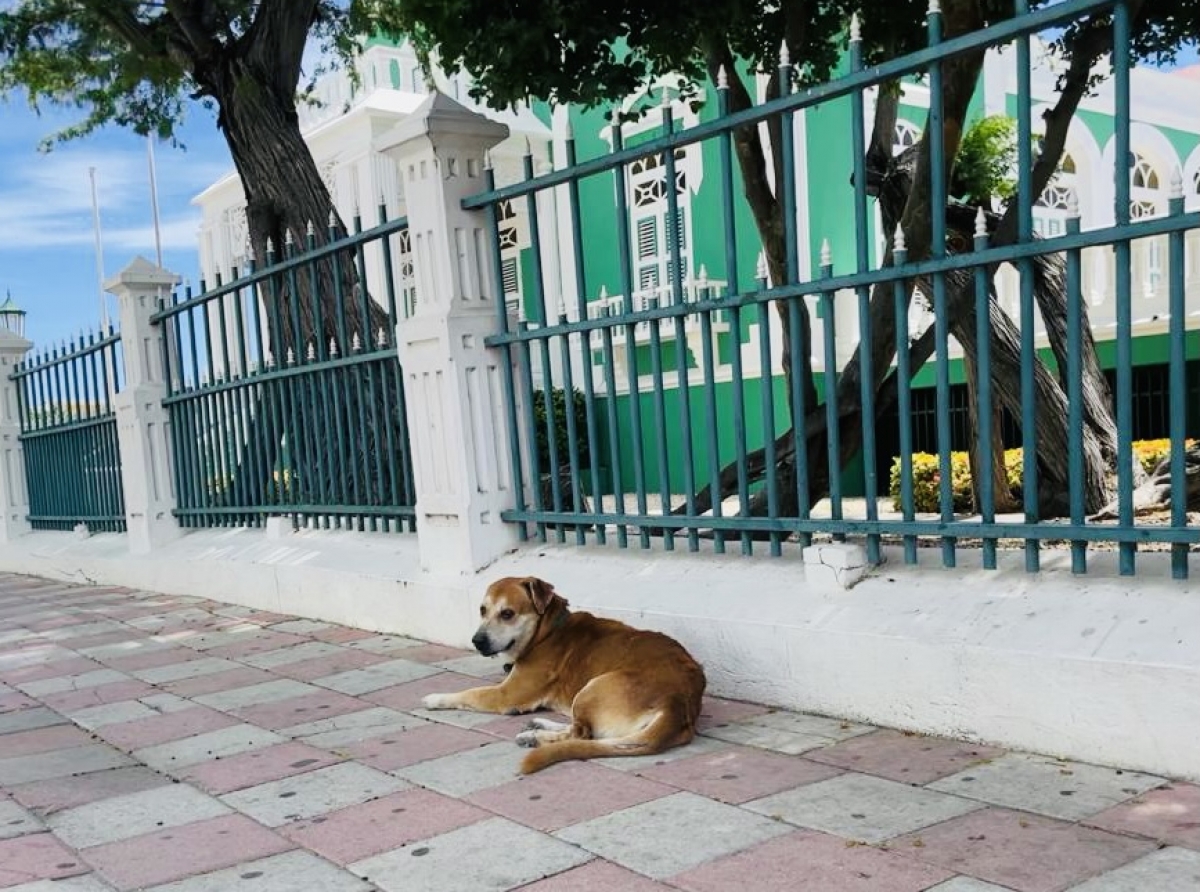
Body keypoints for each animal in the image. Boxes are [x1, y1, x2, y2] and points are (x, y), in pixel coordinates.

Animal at [422, 576, 705, 773]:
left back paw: (535, 737)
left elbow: (469, 692)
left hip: (592, 688)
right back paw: (538, 726)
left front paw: (435, 698)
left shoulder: (505, 694)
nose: (477, 641)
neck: (546, 632)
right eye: (482, 610)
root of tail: (677, 703)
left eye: (507, 613)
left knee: (581, 733)